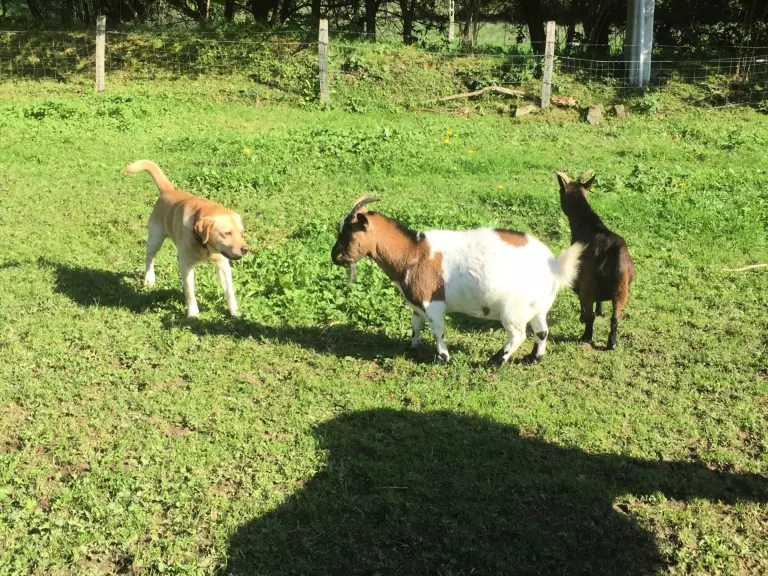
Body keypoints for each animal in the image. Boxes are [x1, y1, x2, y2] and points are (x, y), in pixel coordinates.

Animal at [124, 160, 249, 318]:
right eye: (227, 233)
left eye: (242, 233)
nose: (246, 249)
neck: (203, 243)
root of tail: (168, 191)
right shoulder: (185, 265)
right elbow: (189, 291)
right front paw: (193, 314)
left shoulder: (223, 264)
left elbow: (229, 291)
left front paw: (235, 312)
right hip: (155, 239)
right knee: (149, 258)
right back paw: (149, 279)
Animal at [331, 197, 584, 365]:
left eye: (350, 233)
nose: (335, 256)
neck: (412, 253)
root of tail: (553, 266)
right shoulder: (417, 305)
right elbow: (416, 325)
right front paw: (411, 348)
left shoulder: (432, 303)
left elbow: (437, 330)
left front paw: (442, 358)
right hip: (538, 305)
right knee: (542, 331)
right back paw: (533, 359)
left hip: (514, 309)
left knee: (518, 335)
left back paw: (495, 361)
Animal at [555, 170, 635, 350]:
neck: (589, 225)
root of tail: (613, 251)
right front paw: (601, 310)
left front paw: (581, 317)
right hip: (622, 288)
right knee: (615, 317)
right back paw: (611, 343)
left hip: (588, 283)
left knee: (590, 314)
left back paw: (586, 336)